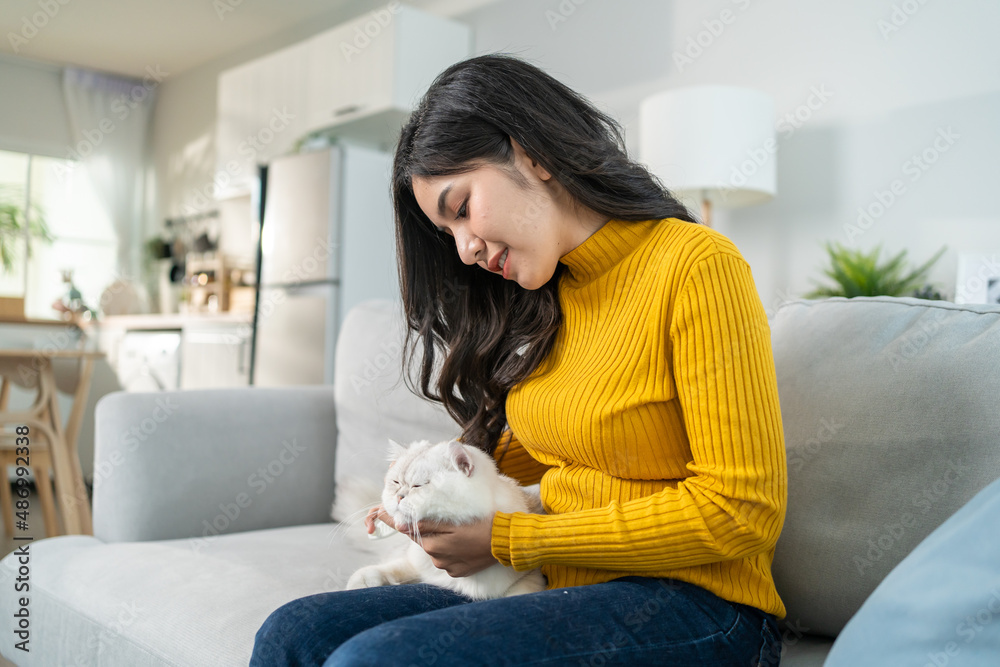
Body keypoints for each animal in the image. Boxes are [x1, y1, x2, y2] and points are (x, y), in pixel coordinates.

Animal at [346, 438, 548, 600]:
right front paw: (357, 583)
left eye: (418, 485)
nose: (399, 497)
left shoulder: (530, 578)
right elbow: (385, 570)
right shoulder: (416, 565)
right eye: (396, 483)